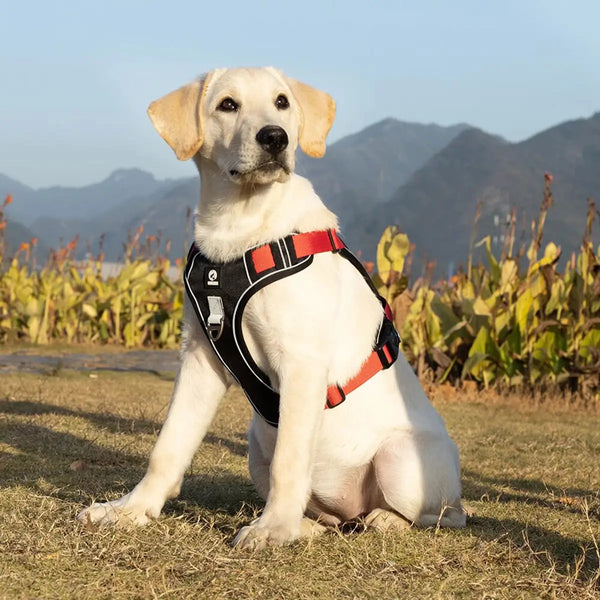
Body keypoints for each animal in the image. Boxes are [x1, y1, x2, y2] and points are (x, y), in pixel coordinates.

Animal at [77, 65, 466, 548]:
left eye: (282, 101)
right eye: (227, 104)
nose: (275, 138)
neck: (239, 227)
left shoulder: (301, 362)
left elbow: (290, 460)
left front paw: (273, 527)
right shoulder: (200, 357)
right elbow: (167, 446)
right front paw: (131, 509)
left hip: (400, 461)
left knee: (445, 515)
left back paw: (380, 520)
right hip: (256, 446)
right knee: (327, 516)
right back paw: (308, 526)